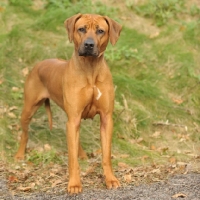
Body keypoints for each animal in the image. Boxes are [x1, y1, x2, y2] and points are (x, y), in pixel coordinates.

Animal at [14, 12, 122, 194]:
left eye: (100, 31)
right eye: (81, 29)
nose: (89, 44)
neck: (90, 69)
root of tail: (40, 63)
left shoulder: (106, 119)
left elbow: (106, 155)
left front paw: (110, 179)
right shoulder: (73, 119)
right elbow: (72, 159)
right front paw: (74, 184)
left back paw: (83, 155)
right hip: (29, 109)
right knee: (25, 133)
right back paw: (20, 154)